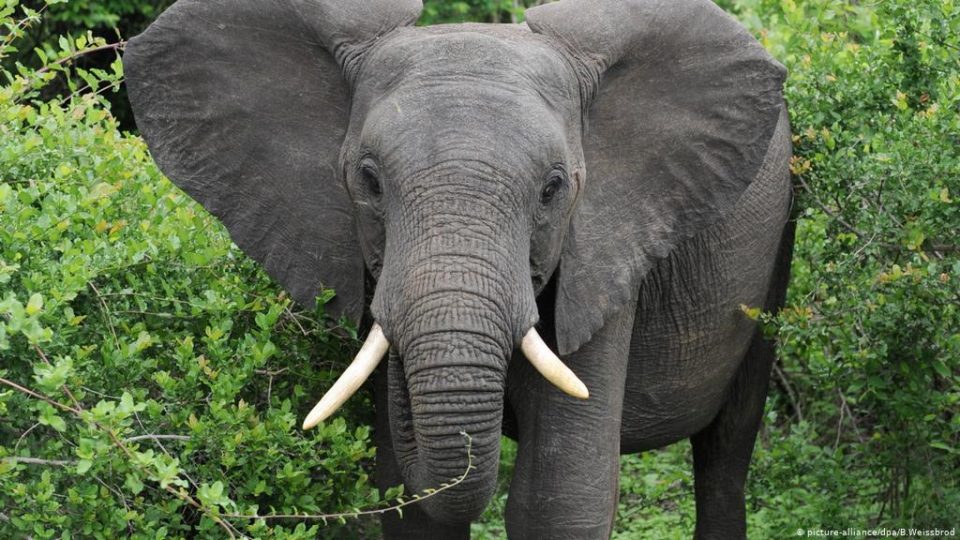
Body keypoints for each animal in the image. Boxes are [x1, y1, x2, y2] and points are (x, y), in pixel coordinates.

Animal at [123, 0, 794, 537]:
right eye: (369, 181)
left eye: (553, 189)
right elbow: (410, 504)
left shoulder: (605, 249)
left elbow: (557, 501)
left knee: (725, 456)